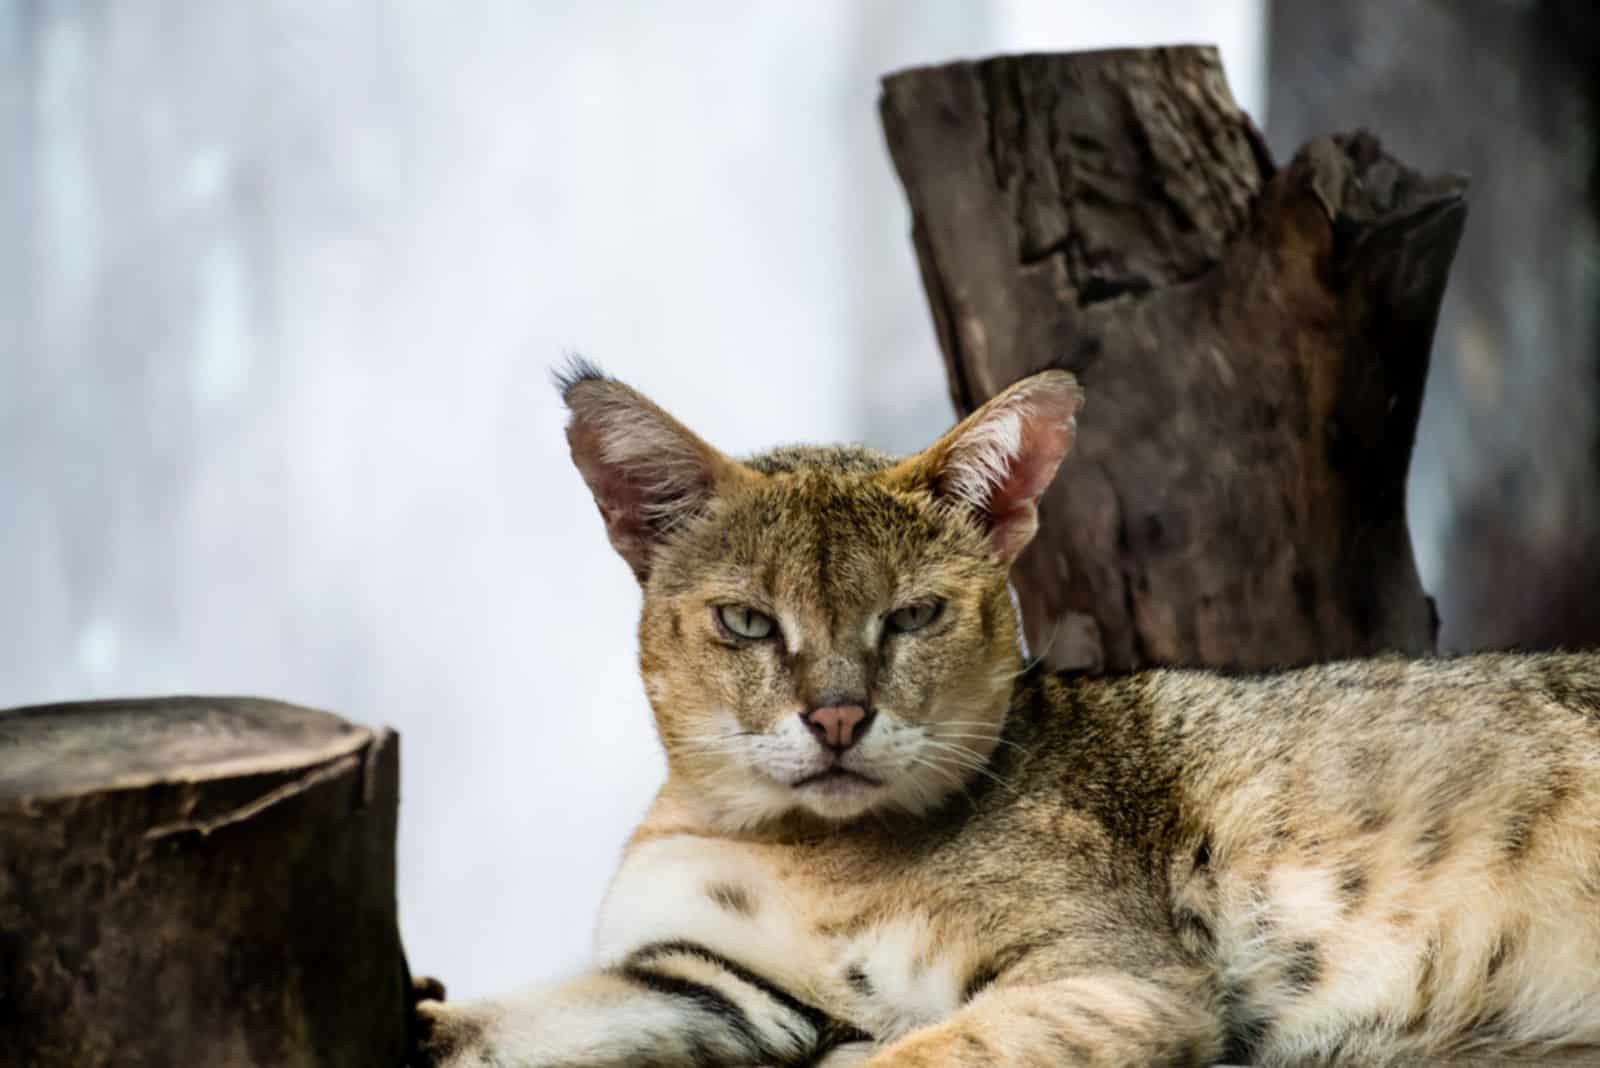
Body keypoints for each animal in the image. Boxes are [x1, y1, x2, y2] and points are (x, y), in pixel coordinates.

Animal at [416, 362, 1600, 1061]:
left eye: (913, 615)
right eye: (748, 622)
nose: (836, 719)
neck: (795, 843)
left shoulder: (1116, 977)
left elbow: (910, 1056)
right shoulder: (710, 980)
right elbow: (532, 1019)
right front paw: (430, 1010)